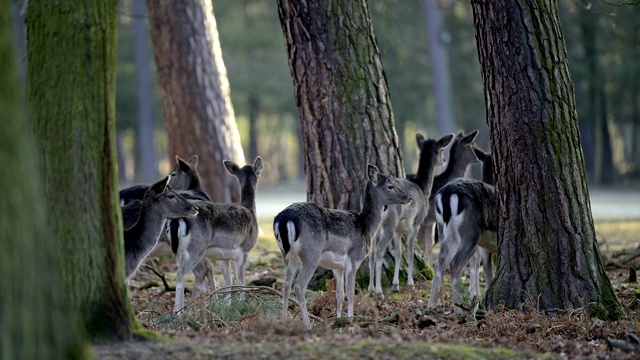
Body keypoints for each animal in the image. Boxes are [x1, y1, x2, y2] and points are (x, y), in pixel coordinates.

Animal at [171, 157, 262, 312]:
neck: (250, 210)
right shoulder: (244, 251)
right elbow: (241, 281)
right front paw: (242, 303)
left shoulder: (223, 258)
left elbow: (228, 282)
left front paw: (228, 306)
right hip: (196, 248)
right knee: (181, 273)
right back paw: (178, 311)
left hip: (181, 251)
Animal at [278, 165, 412, 328]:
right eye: (390, 186)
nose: (409, 197)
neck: (366, 226)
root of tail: (283, 219)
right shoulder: (354, 259)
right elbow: (350, 293)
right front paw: (351, 321)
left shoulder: (337, 267)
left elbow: (339, 295)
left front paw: (338, 320)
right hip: (311, 256)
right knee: (299, 286)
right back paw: (308, 325)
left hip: (288, 255)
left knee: (286, 286)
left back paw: (284, 321)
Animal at [368, 133, 452, 296]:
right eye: (441, 150)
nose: (444, 160)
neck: (423, 188)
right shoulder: (416, 223)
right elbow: (410, 252)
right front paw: (410, 283)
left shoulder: (398, 230)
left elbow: (399, 252)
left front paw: (395, 284)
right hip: (390, 222)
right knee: (379, 250)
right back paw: (379, 291)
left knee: (371, 252)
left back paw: (370, 288)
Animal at [428, 146, 498, 316]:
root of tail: (446, 195)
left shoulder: (484, 248)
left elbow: (487, 273)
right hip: (470, 234)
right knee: (455, 264)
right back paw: (458, 308)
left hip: (443, 231)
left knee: (439, 263)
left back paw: (432, 305)